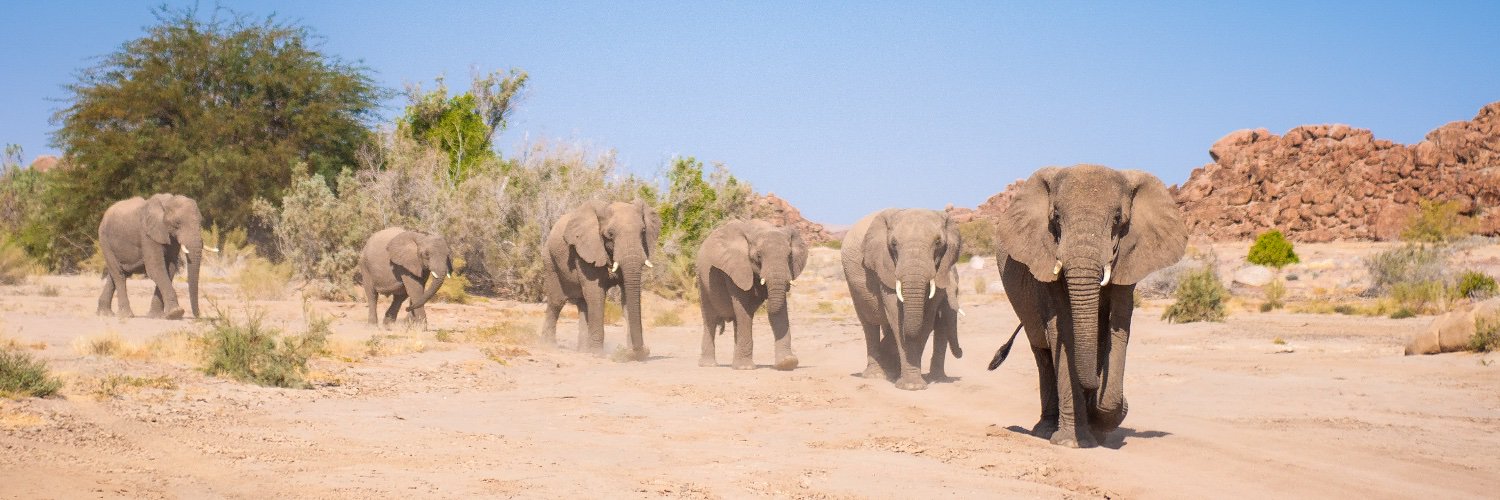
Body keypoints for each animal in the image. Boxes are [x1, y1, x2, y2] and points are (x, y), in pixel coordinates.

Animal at [540, 199, 661, 359]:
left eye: (643, 231)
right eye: (610, 234)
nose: (642, 351)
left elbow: (626, 297)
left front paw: (631, 354)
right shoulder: (587, 249)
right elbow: (596, 295)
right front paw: (597, 354)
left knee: (583, 304)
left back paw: (583, 351)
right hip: (550, 260)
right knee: (556, 302)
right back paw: (549, 347)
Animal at [696, 219, 809, 370]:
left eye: (789, 256)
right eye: (758, 256)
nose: (761, 298)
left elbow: (779, 312)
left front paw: (787, 363)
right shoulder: (736, 268)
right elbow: (743, 308)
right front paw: (745, 368)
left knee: (737, 322)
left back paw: (734, 363)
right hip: (702, 282)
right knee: (710, 320)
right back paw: (709, 365)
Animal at [842, 208, 964, 390]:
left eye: (938, 242)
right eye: (893, 243)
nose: (961, 351)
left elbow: (925, 321)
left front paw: (914, 385)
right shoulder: (883, 264)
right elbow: (896, 315)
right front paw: (911, 386)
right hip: (855, 287)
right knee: (869, 325)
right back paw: (876, 375)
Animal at [988, 164, 1187, 448]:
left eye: (1117, 219)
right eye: (1056, 218)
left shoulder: (1128, 259)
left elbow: (1118, 329)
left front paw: (1102, 420)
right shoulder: (1046, 259)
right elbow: (1062, 331)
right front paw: (1072, 441)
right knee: (1043, 355)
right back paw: (1045, 430)